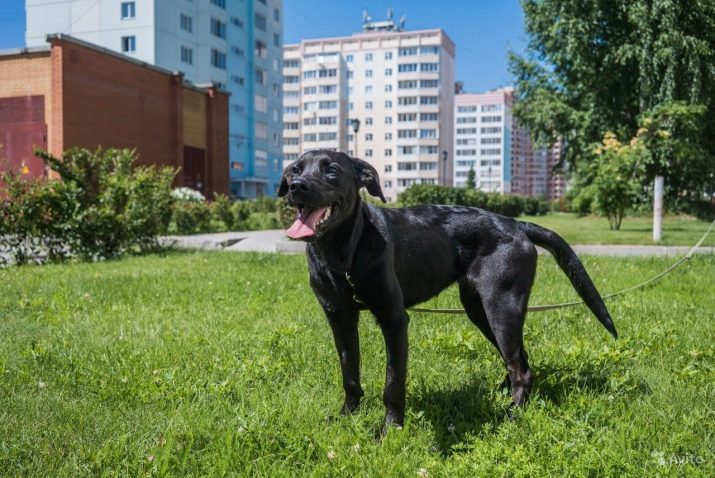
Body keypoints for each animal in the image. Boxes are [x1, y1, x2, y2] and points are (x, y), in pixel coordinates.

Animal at [278, 148, 616, 430]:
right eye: (295, 169)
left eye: (331, 170)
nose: (297, 186)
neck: (342, 252)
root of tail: (516, 223)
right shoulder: (339, 317)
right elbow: (350, 373)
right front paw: (347, 416)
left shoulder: (394, 318)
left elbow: (393, 382)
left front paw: (389, 430)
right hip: (478, 308)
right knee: (518, 359)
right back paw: (504, 395)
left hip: (502, 305)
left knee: (519, 367)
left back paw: (513, 413)